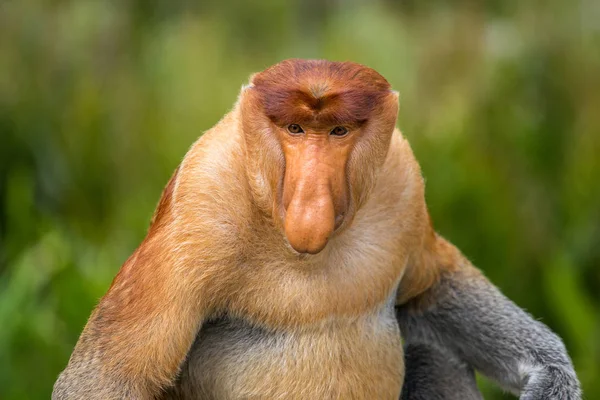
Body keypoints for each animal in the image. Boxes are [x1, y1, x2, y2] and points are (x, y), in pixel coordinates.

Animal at [52, 59, 580, 400]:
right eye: (295, 129)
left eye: (339, 131)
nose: (310, 205)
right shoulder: (202, 201)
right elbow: (111, 378)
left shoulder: (402, 182)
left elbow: (429, 287)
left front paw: (554, 375)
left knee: (433, 353)